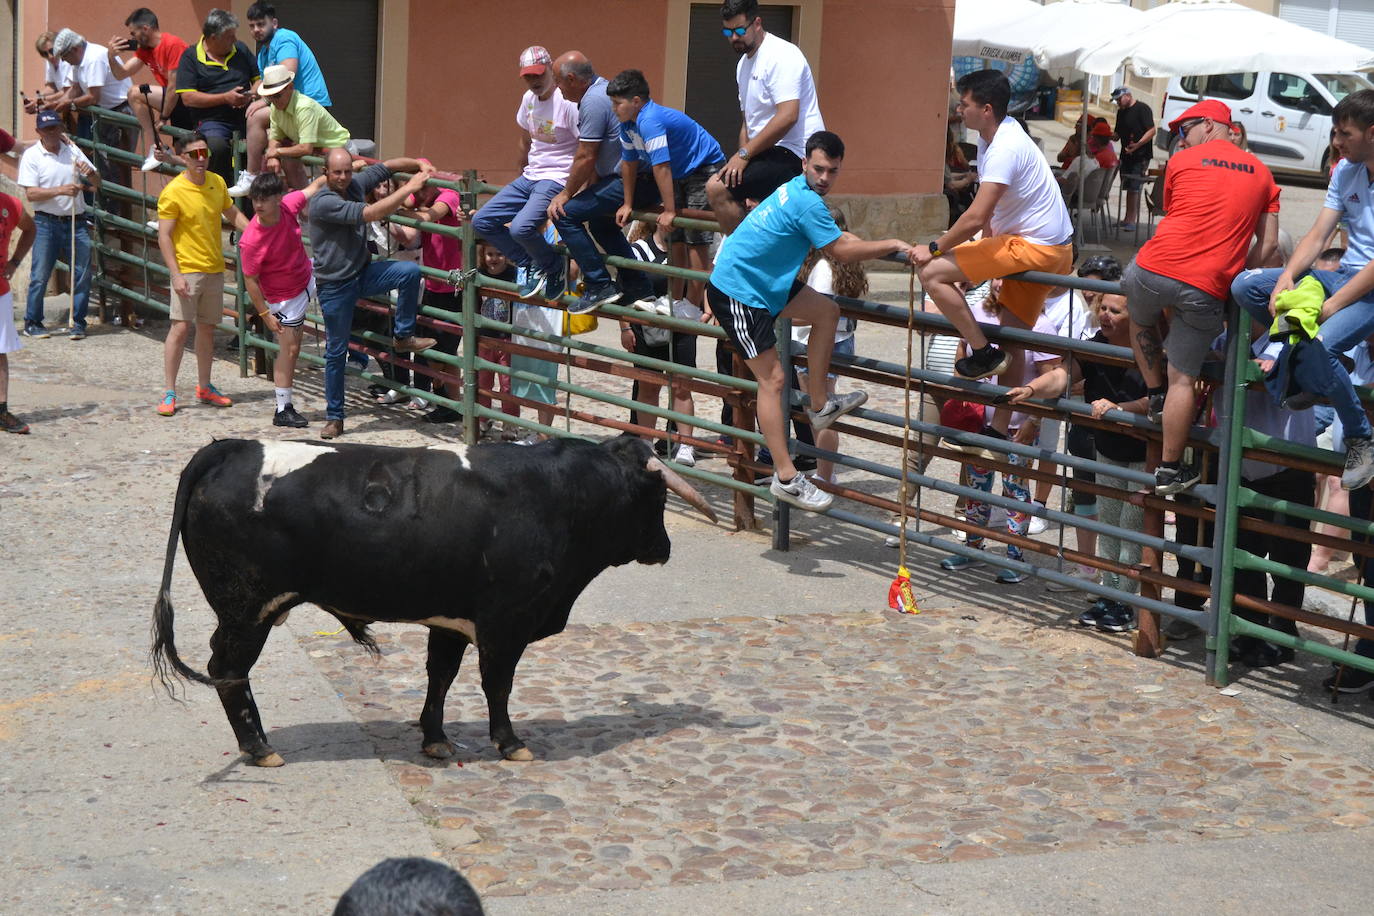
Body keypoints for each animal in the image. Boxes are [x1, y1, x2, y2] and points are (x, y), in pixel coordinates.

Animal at [150, 433, 714, 763]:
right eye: (657, 497)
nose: (663, 548)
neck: (558, 495)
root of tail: (231, 447)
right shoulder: (505, 623)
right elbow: (497, 684)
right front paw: (510, 742)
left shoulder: (451, 621)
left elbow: (441, 676)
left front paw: (435, 738)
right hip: (246, 611)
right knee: (227, 668)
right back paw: (259, 747)